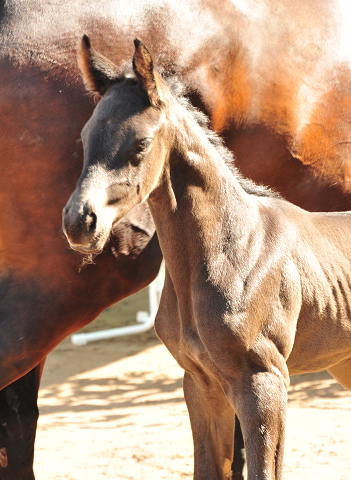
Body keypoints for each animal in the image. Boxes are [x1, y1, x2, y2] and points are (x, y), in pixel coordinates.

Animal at [2, 0, 351, 478]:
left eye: (141, 143)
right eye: (84, 136)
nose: (79, 222)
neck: (235, 249)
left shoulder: (264, 384)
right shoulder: (202, 384)